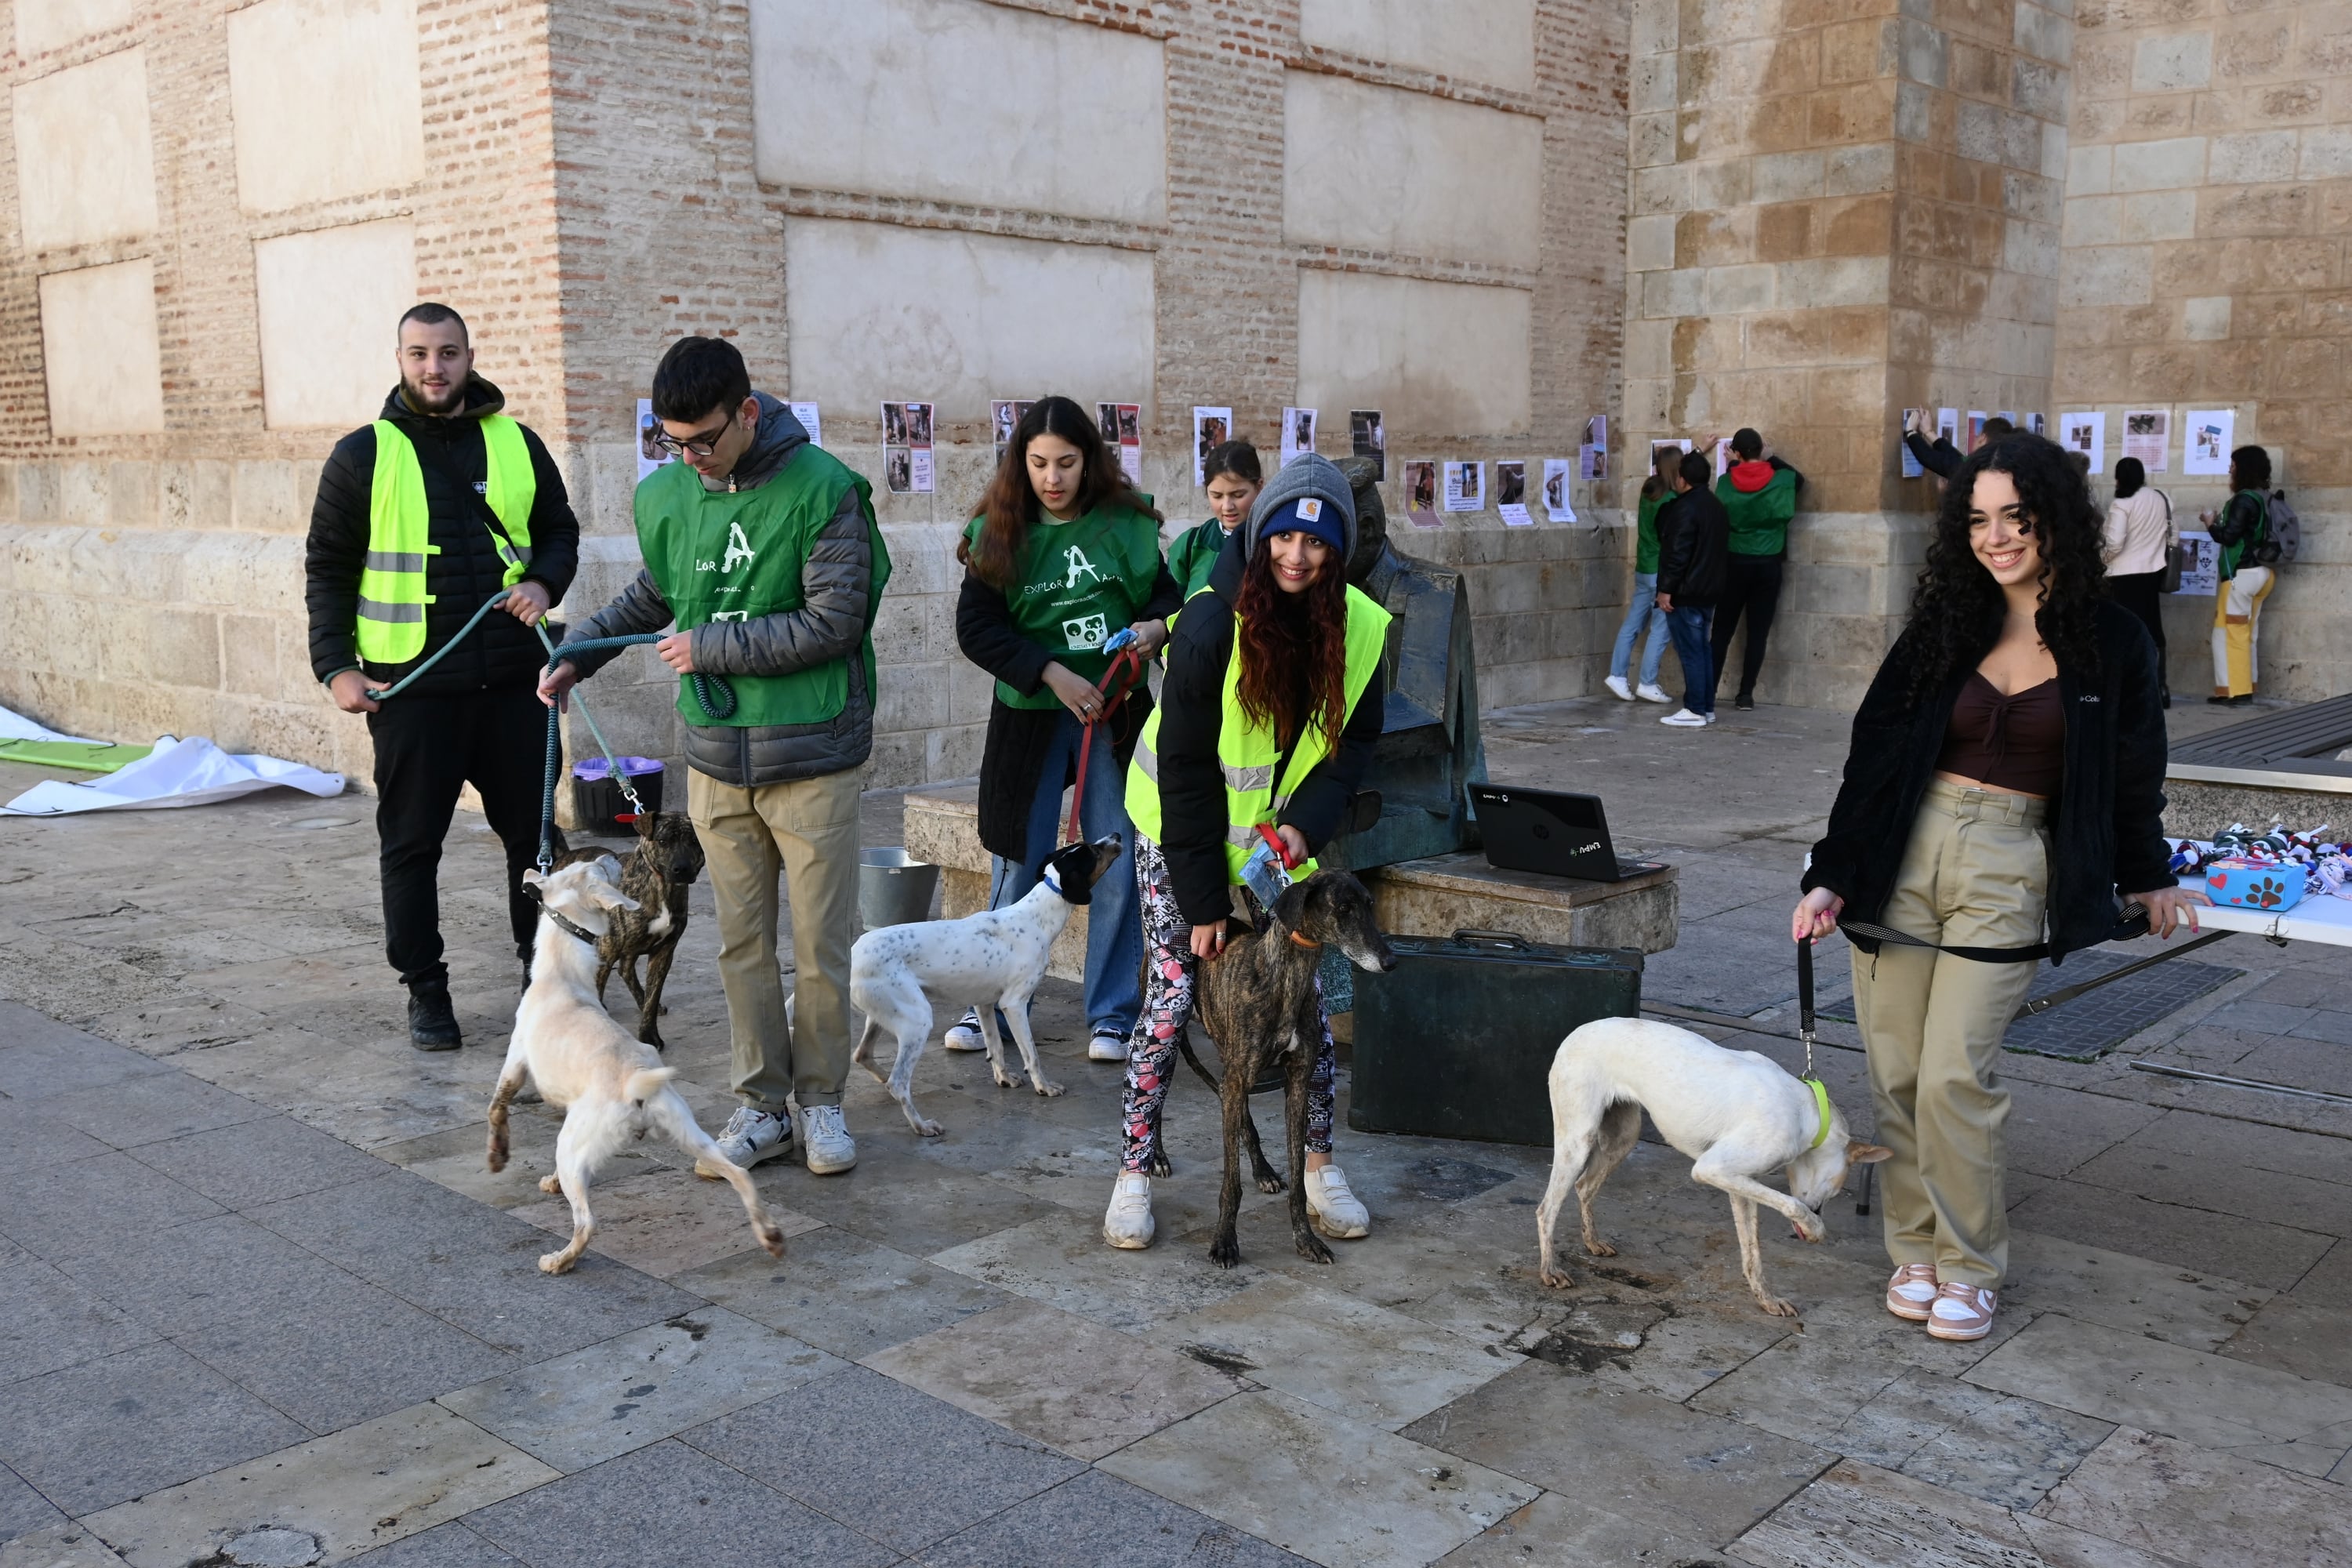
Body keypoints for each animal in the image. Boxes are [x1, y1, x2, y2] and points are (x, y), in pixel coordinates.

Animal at [851, 841, 1124, 1133]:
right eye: (1094, 852)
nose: (1117, 837)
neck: (1035, 918)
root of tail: (853, 953)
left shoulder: (983, 1003)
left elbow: (996, 1046)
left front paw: (1004, 1079)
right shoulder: (1014, 1004)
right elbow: (1032, 1053)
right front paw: (1044, 1087)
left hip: (884, 1014)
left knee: (862, 1055)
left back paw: (883, 1081)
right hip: (917, 1020)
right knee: (898, 1082)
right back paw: (921, 1125)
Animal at [1195, 879, 1392, 1269]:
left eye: (1370, 904)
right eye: (1344, 908)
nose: (1391, 961)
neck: (1285, 978)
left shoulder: (1298, 1083)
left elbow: (1299, 1177)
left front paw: (1306, 1240)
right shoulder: (1238, 1077)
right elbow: (1230, 1183)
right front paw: (1224, 1242)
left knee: (1238, 1111)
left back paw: (1263, 1171)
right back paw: (1156, 1159)